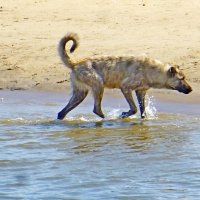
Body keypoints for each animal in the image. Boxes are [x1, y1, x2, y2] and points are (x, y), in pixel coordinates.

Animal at [56, 32, 192, 119]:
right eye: (181, 78)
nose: (191, 89)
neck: (154, 70)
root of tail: (75, 63)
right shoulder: (125, 87)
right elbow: (134, 108)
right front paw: (124, 114)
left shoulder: (141, 91)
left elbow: (142, 111)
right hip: (98, 85)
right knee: (96, 109)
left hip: (80, 93)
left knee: (62, 113)